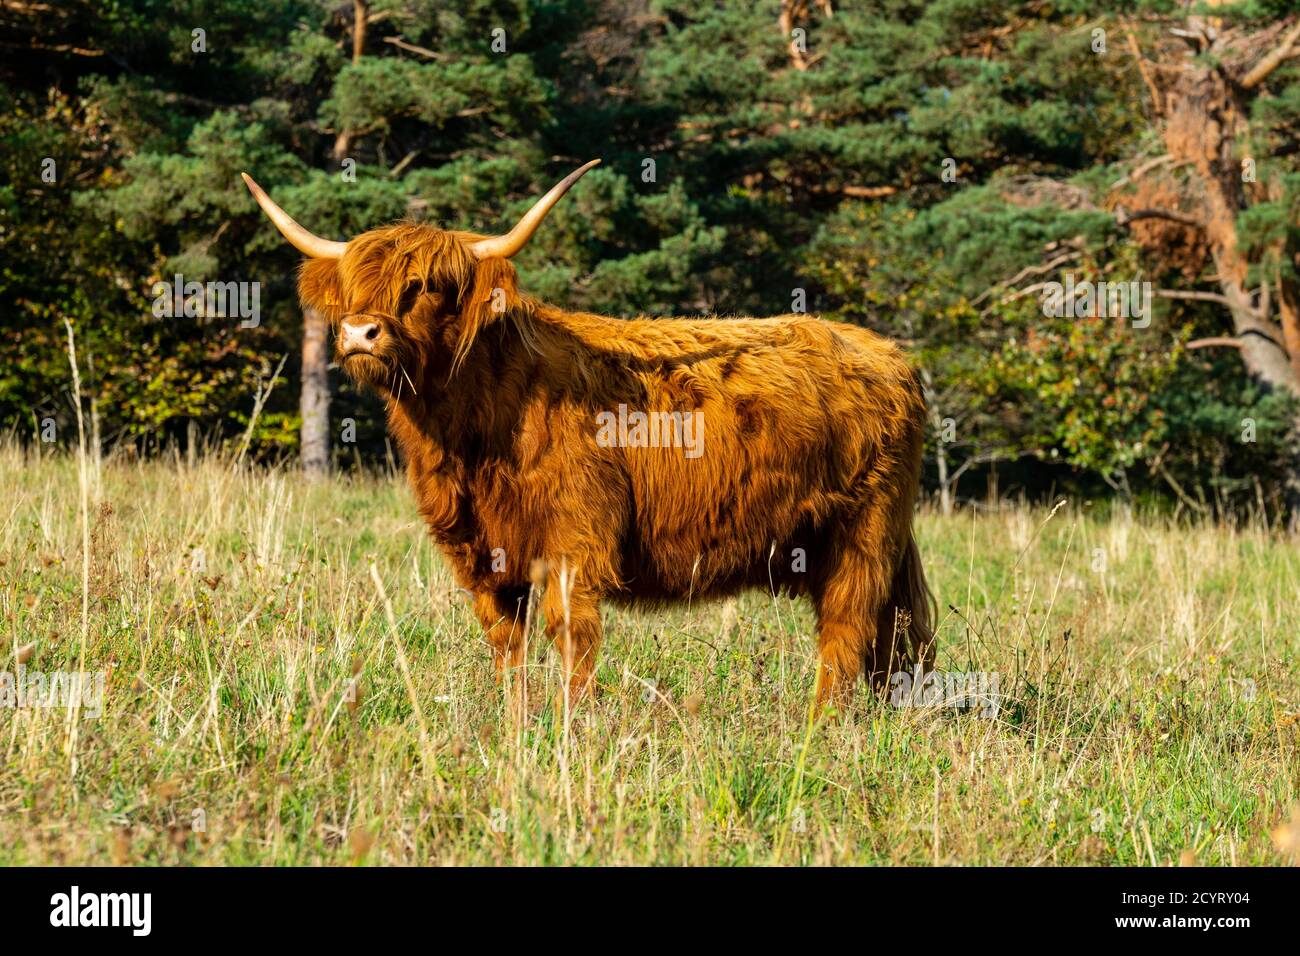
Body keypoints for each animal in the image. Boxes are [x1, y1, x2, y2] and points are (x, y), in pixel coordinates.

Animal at [242, 161, 936, 714]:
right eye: (355, 289)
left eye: (426, 287)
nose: (360, 333)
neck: (469, 432)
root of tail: (888, 354)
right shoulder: (481, 551)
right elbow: (507, 642)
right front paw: (516, 724)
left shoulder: (575, 536)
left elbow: (571, 633)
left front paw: (572, 727)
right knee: (886, 636)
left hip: (863, 536)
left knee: (846, 629)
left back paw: (821, 728)